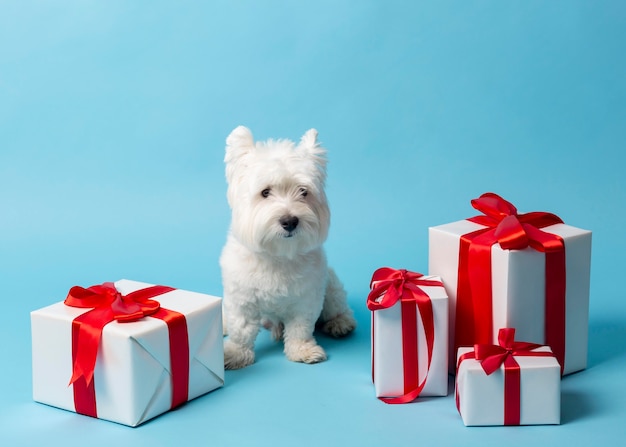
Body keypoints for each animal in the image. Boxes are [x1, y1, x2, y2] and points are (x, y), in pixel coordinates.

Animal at [221, 127, 356, 372]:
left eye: (303, 192)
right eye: (265, 192)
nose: (290, 221)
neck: (277, 254)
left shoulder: (306, 298)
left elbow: (300, 328)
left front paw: (302, 350)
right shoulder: (242, 298)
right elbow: (241, 329)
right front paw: (236, 353)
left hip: (331, 287)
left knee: (338, 306)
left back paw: (340, 322)